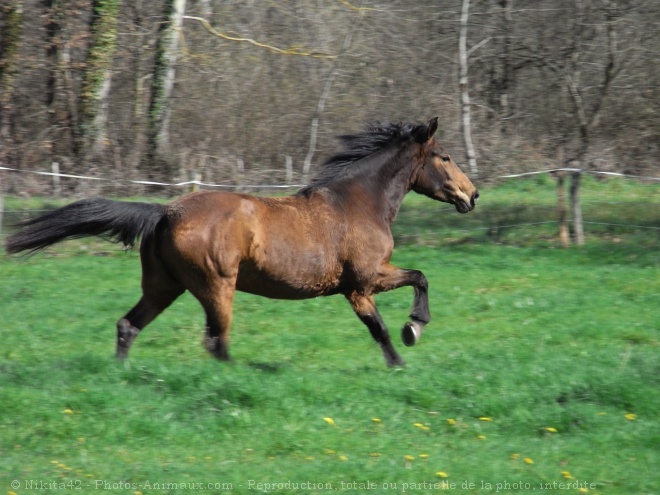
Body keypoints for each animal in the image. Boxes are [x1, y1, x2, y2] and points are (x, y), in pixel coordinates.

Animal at [7, 118, 476, 368]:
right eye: (446, 157)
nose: (472, 196)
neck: (357, 203)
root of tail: (166, 212)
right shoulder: (363, 283)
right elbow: (400, 301)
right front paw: (410, 337)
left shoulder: (362, 284)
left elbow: (411, 287)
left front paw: (408, 341)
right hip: (217, 286)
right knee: (217, 340)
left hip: (164, 286)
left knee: (130, 325)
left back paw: (120, 374)